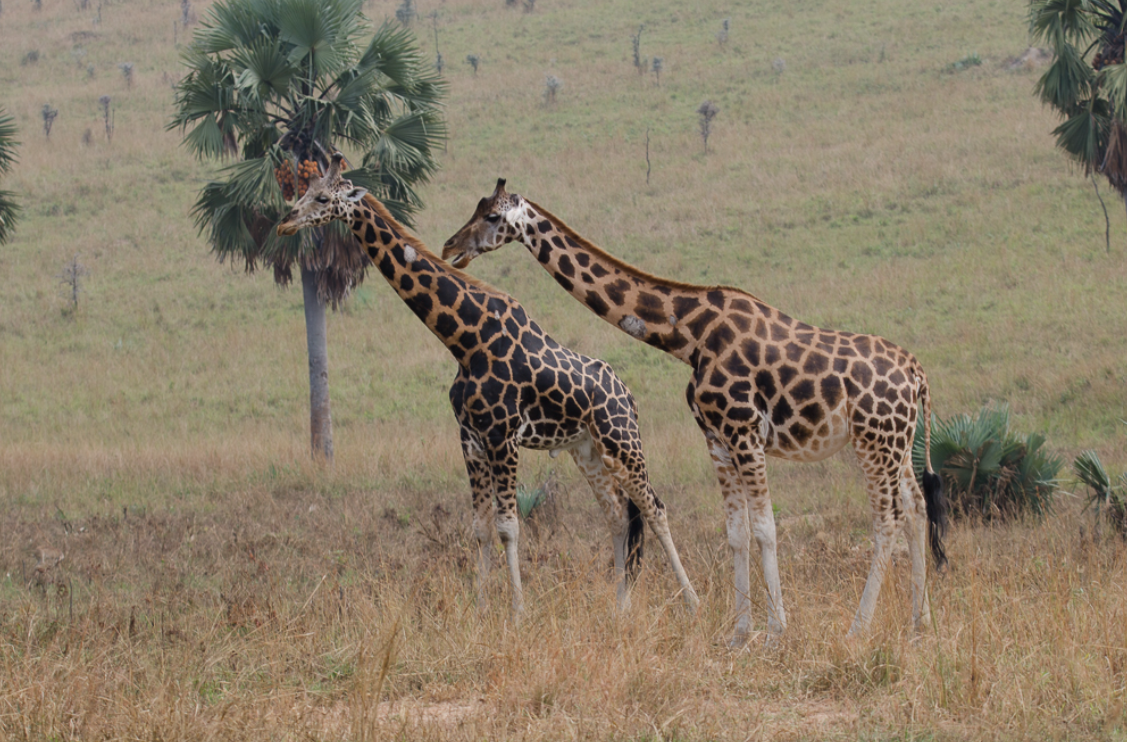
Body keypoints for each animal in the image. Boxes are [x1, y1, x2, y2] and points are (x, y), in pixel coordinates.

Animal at [276, 156, 699, 617]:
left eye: (321, 197)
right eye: (301, 190)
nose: (285, 222)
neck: (465, 341)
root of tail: (629, 395)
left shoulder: (502, 436)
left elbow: (508, 526)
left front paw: (518, 611)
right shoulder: (471, 439)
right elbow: (480, 528)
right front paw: (479, 609)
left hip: (622, 440)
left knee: (654, 508)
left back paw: (692, 601)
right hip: (587, 450)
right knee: (618, 515)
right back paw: (620, 607)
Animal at [442, 179, 948, 643]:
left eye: (492, 216)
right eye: (475, 207)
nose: (450, 247)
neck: (690, 336)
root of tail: (918, 372)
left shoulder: (744, 430)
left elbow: (765, 528)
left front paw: (777, 630)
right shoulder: (717, 438)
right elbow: (736, 532)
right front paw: (740, 632)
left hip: (876, 442)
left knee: (886, 520)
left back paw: (857, 629)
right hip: (896, 444)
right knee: (915, 506)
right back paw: (919, 622)